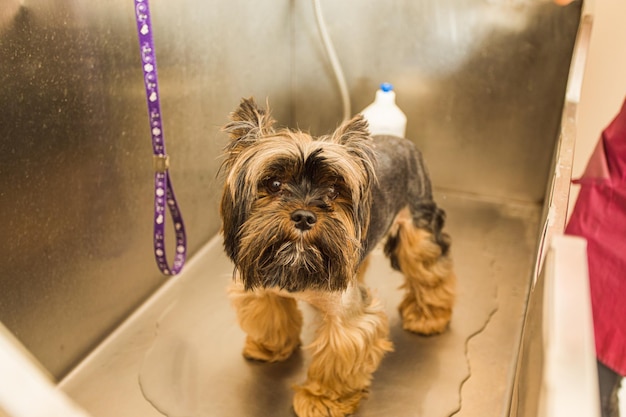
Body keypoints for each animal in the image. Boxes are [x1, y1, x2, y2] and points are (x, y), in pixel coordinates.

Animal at [219, 97, 454, 416]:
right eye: (274, 184)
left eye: (332, 191)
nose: (304, 216)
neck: (296, 265)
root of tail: (402, 141)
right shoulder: (261, 283)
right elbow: (270, 315)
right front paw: (271, 346)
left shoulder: (347, 315)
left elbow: (338, 356)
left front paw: (321, 400)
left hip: (418, 227)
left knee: (429, 269)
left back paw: (427, 317)